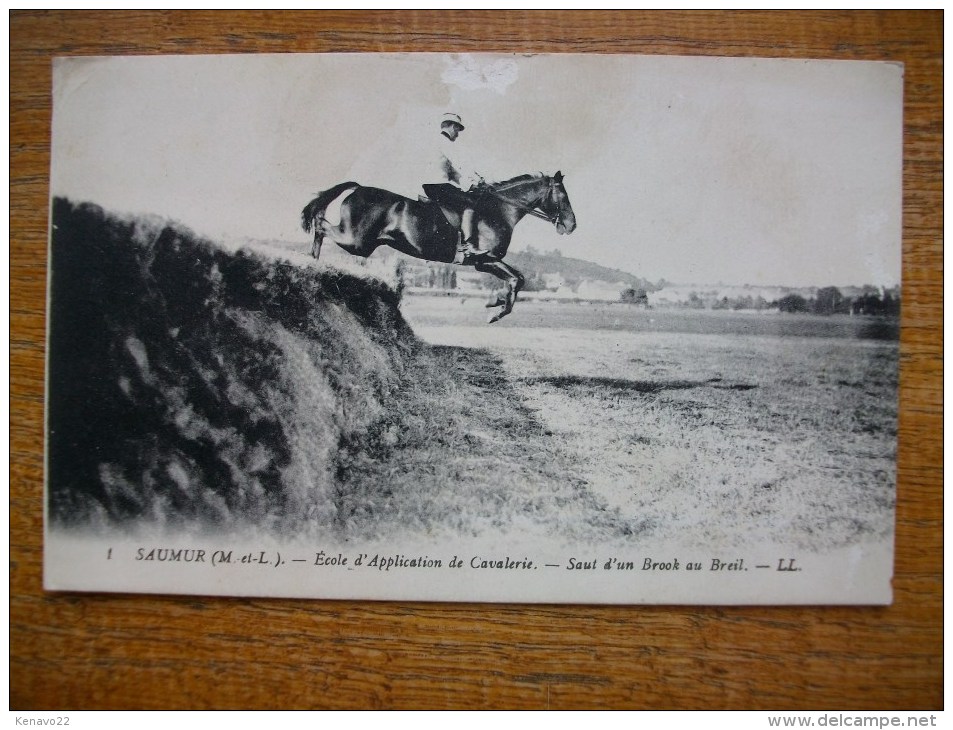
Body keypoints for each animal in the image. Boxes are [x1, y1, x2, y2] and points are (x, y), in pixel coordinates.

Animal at [302, 172, 576, 322]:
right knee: (320, 224)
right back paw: (311, 258)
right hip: (357, 241)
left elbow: (517, 279)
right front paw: (496, 310)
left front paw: (495, 302)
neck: (499, 211)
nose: (571, 225)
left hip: (361, 244)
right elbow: (517, 279)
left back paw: (312, 261)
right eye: (563, 196)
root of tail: (358, 188)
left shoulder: (483, 264)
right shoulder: (485, 259)